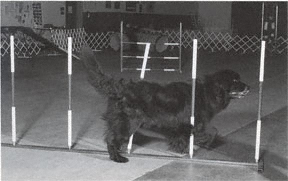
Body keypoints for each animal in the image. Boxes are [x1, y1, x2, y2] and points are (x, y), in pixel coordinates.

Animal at [81, 46, 250, 163]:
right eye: (235, 81)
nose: (248, 87)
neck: (207, 91)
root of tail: (121, 87)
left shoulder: (181, 125)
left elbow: (185, 137)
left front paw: (183, 148)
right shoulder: (193, 122)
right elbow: (212, 132)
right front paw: (200, 143)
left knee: (111, 136)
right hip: (129, 122)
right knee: (112, 139)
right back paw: (118, 157)